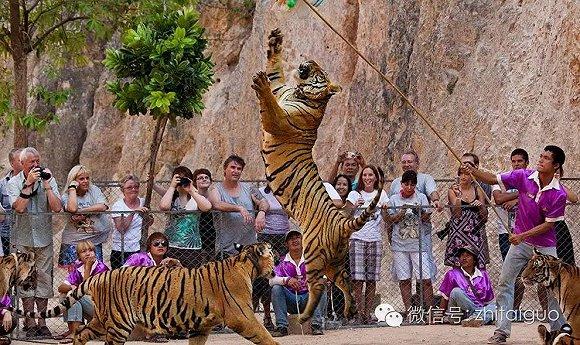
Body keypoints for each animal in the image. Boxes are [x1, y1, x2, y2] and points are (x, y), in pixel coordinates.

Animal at [251, 28, 382, 322]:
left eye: (319, 73)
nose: (306, 64)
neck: (301, 93)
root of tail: (343, 222)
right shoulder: (282, 88)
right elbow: (275, 72)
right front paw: (275, 41)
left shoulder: (280, 121)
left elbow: (271, 106)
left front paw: (260, 84)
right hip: (336, 261)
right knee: (345, 282)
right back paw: (349, 310)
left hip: (312, 255)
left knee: (319, 286)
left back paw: (305, 317)